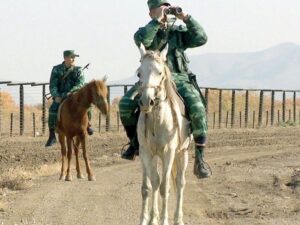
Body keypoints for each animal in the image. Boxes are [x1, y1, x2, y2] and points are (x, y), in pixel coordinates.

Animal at [137, 44, 191, 225]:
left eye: (160, 72)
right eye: (139, 73)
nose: (146, 102)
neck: (158, 120)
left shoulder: (169, 153)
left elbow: (165, 186)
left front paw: (163, 220)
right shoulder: (146, 153)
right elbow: (151, 185)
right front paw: (148, 219)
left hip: (182, 153)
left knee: (180, 183)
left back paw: (178, 219)